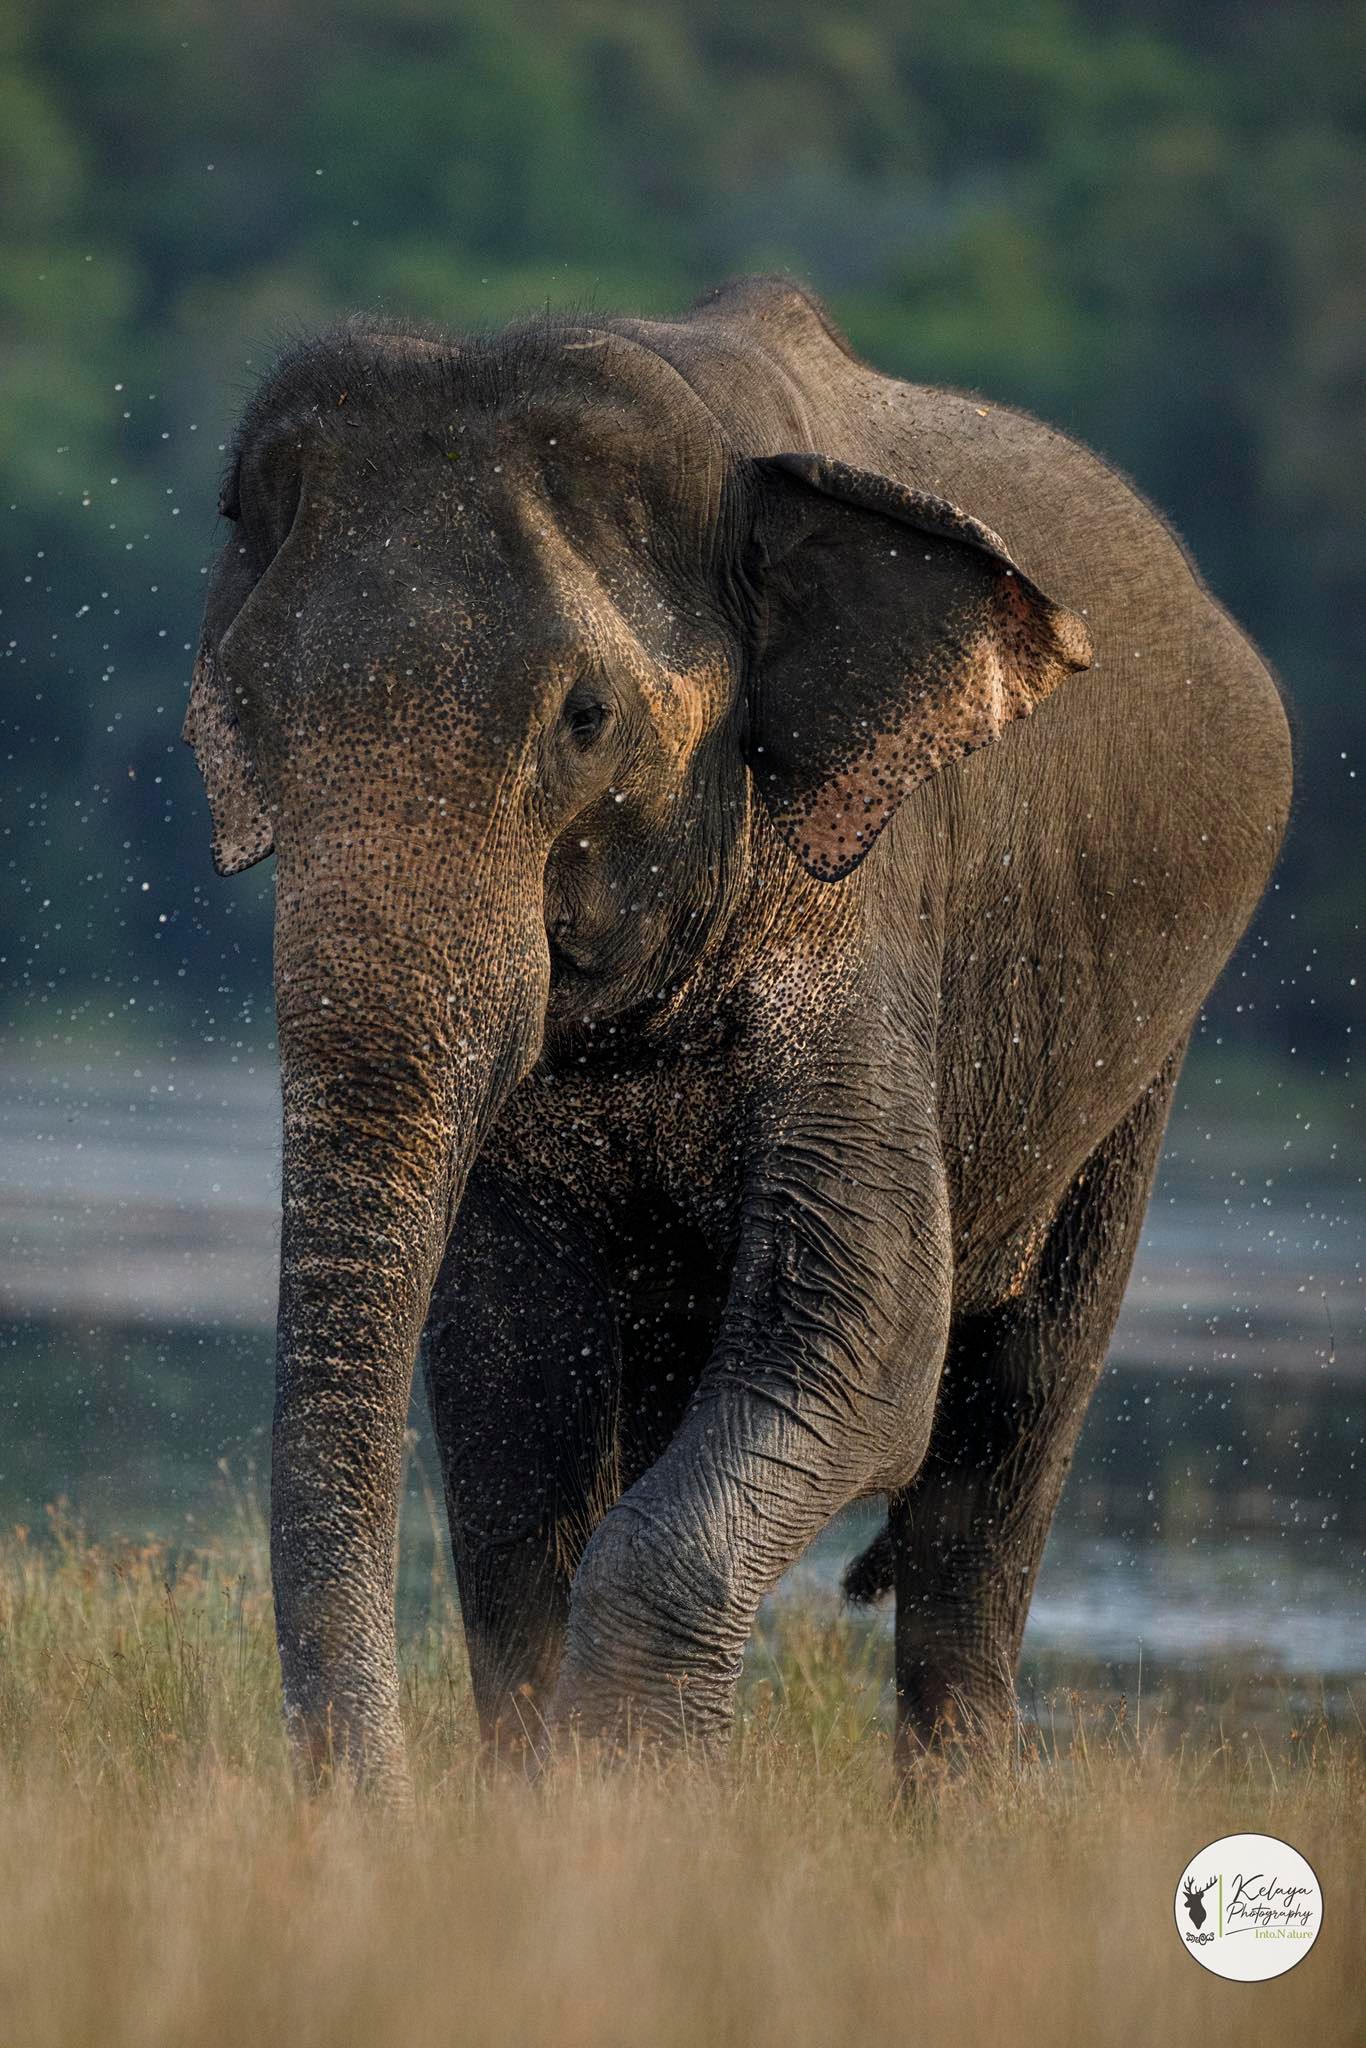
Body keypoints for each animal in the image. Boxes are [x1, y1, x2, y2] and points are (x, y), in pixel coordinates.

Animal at [185, 275, 1291, 1804]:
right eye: (245, 714)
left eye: (586, 718)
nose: (373, 1812)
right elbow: (509, 1371)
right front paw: (545, 1802)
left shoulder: (869, 909)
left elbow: (868, 1340)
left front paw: (629, 1796)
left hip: (1145, 1032)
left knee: (1011, 1419)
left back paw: (956, 1812)